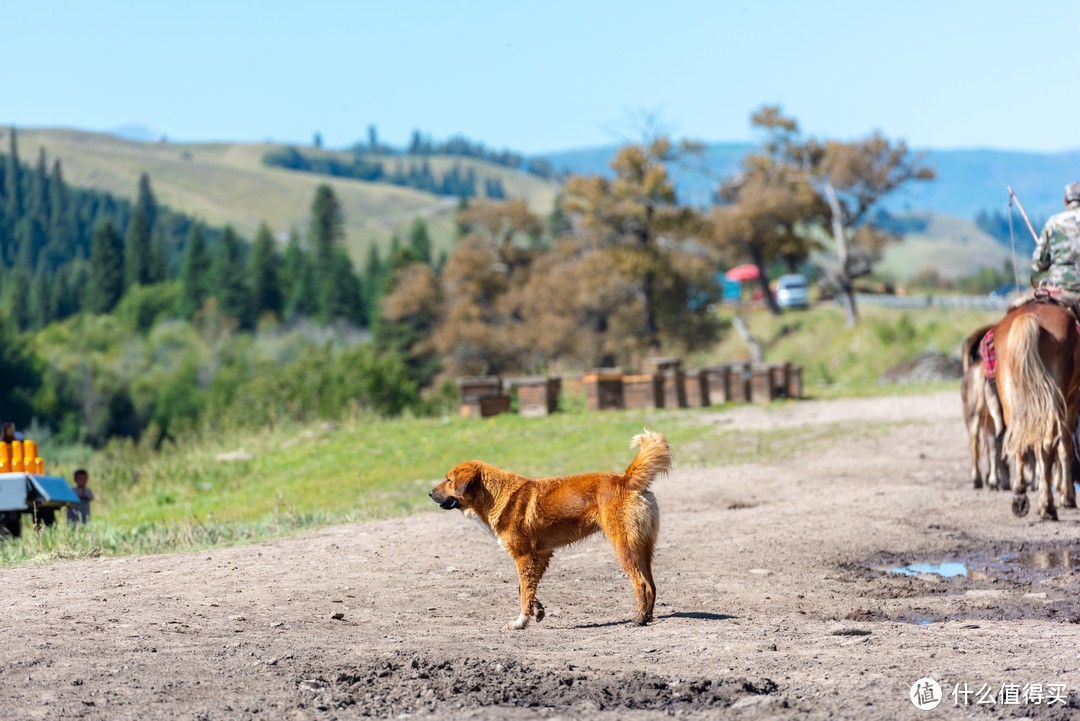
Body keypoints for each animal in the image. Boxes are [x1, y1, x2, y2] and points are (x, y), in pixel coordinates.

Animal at [427, 431, 665, 626]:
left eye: (448, 480)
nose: (429, 493)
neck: (494, 495)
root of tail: (626, 480)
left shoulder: (523, 556)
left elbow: (524, 590)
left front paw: (520, 622)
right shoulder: (540, 555)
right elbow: (526, 588)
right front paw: (537, 610)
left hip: (623, 546)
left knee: (640, 583)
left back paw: (638, 619)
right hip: (643, 547)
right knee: (652, 584)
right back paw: (648, 616)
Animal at [993, 300, 1080, 518]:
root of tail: (1029, 317)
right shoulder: (1071, 401)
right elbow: (1065, 447)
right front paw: (1067, 497)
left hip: (1011, 398)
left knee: (1020, 439)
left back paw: (1020, 494)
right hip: (1056, 400)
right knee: (1048, 444)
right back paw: (1047, 505)